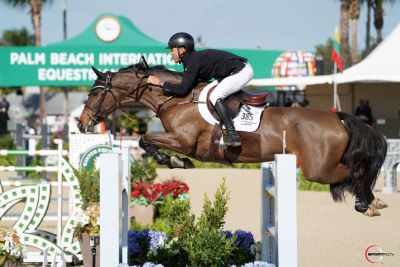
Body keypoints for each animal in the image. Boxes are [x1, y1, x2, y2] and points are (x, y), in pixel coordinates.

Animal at [77, 60, 388, 218]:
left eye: (95, 92)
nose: (82, 123)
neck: (176, 99)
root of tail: (338, 118)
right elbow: (146, 141)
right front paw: (173, 161)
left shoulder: (183, 140)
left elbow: (145, 140)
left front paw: (173, 160)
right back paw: (370, 203)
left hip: (318, 169)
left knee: (356, 172)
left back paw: (368, 203)